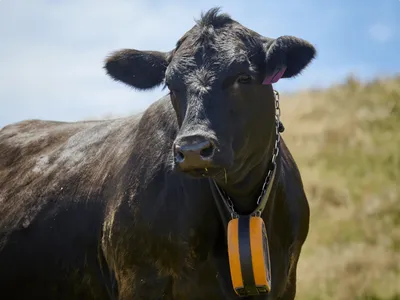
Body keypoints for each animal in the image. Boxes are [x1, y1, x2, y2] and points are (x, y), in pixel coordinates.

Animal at [0, 7, 314, 300]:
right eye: (171, 85)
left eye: (244, 77)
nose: (192, 149)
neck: (242, 204)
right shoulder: (141, 279)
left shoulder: (287, 281)